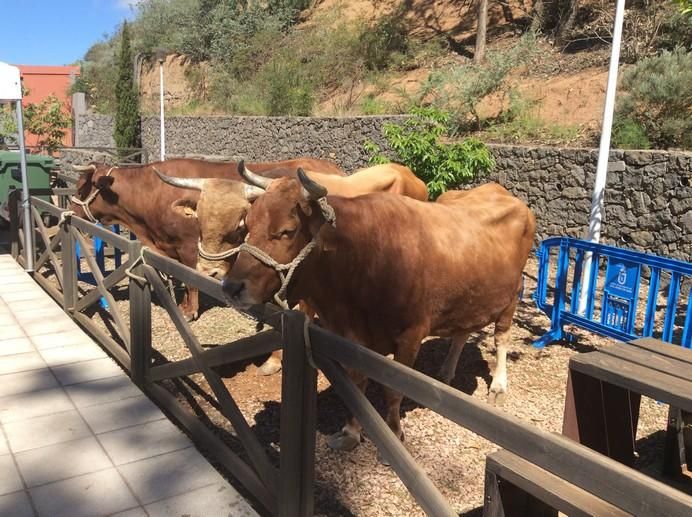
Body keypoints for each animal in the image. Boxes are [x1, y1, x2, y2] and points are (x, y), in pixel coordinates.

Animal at [222, 171, 536, 454]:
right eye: (247, 224)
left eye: (287, 230)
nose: (231, 286)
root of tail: (501, 192)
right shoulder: (349, 337)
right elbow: (356, 382)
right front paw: (350, 432)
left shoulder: (411, 335)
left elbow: (393, 390)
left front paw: (394, 434)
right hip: (470, 296)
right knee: (462, 333)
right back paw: (446, 373)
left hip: (512, 294)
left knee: (501, 338)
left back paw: (498, 385)